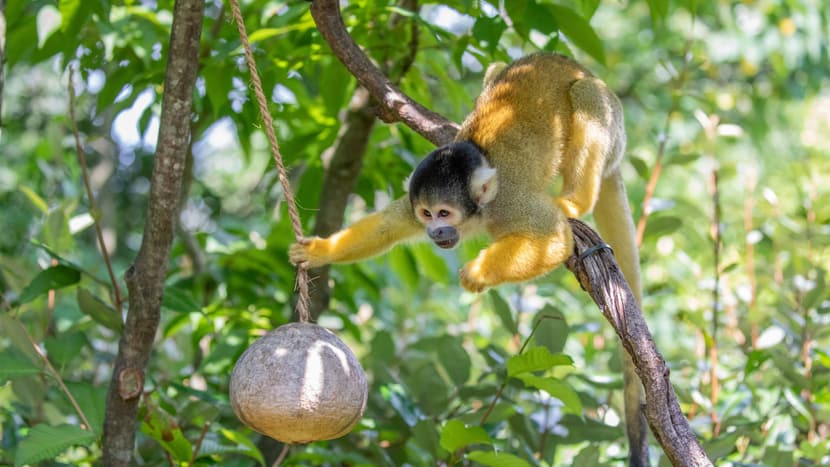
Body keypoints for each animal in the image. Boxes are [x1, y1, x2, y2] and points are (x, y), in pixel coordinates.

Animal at [290, 53, 648, 466]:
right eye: (427, 214)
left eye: (445, 213)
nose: (434, 232)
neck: (479, 210)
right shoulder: (414, 201)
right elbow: (386, 227)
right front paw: (318, 251)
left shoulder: (508, 201)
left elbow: (555, 241)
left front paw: (477, 273)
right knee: (498, 70)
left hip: (613, 123)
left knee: (586, 94)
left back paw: (576, 199)